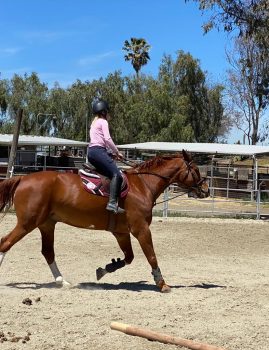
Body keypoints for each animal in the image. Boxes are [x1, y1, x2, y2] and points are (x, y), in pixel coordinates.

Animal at [0, 150, 207, 292]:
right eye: (196, 169)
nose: (206, 189)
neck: (142, 185)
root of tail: (22, 179)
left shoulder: (121, 232)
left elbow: (129, 258)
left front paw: (105, 269)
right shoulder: (141, 229)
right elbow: (151, 256)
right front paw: (162, 284)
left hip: (46, 224)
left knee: (47, 252)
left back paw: (62, 281)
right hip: (27, 223)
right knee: (5, 243)